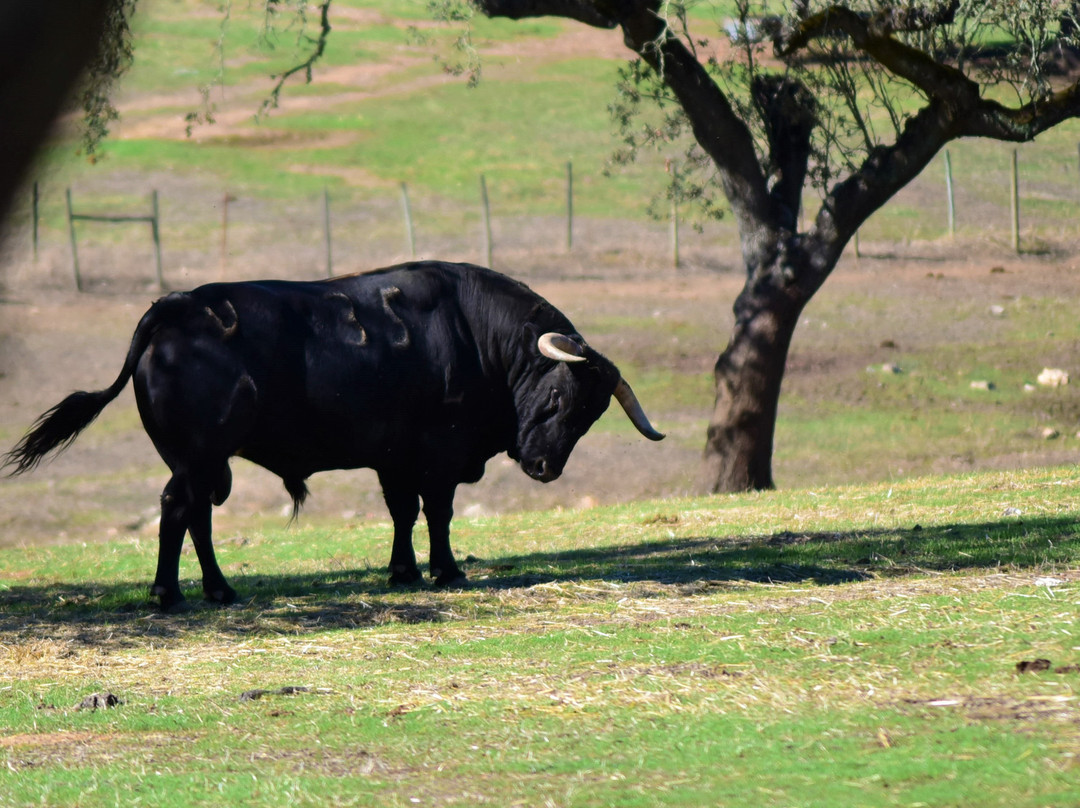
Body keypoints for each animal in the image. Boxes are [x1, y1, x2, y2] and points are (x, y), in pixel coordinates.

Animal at [4, 262, 660, 609]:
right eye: (559, 398)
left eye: (591, 416)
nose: (545, 467)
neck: (474, 336)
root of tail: (176, 306)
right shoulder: (440, 455)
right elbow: (438, 512)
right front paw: (446, 571)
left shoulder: (394, 457)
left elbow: (402, 513)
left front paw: (403, 571)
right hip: (199, 456)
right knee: (176, 509)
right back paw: (170, 593)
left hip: (205, 462)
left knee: (197, 516)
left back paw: (219, 589)